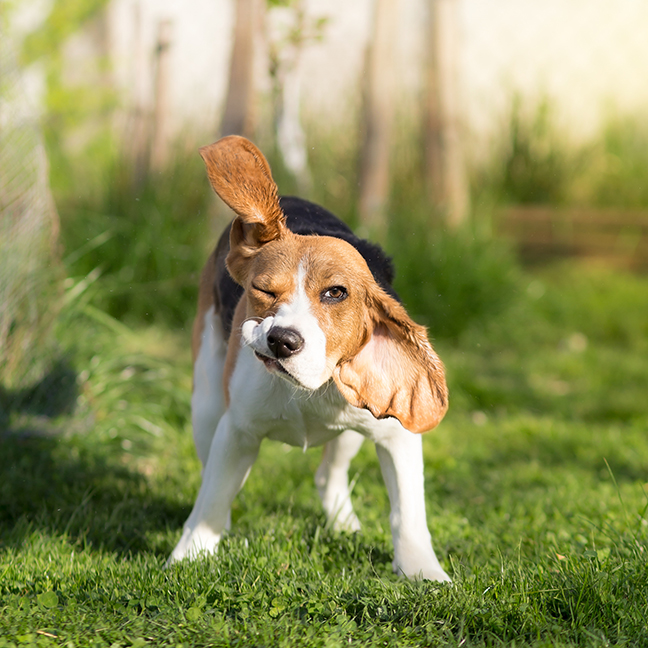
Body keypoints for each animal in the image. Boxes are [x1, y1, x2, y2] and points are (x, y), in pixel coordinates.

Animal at [168, 135, 450, 581]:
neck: (309, 386)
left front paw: (424, 572)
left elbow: (408, 513)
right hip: (206, 406)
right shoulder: (236, 430)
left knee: (326, 476)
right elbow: (211, 499)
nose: (282, 341)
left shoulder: (396, 435)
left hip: (354, 426)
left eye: (336, 293)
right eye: (263, 290)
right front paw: (189, 556)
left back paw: (343, 523)